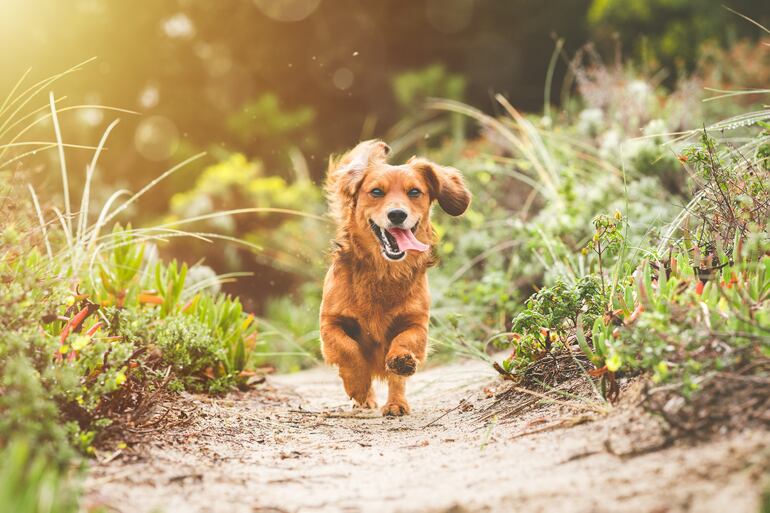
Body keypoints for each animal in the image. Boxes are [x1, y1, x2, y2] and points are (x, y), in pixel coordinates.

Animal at [318, 141, 468, 416]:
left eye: (414, 192)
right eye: (376, 192)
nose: (397, 214)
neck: (383, 272)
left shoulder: (417, 323)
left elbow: (404, 342)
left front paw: (400, 360)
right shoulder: (329, 324)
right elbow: (348, 350)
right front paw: (358, 385)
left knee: (395, 379)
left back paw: (396, 403)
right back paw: (365, 397)